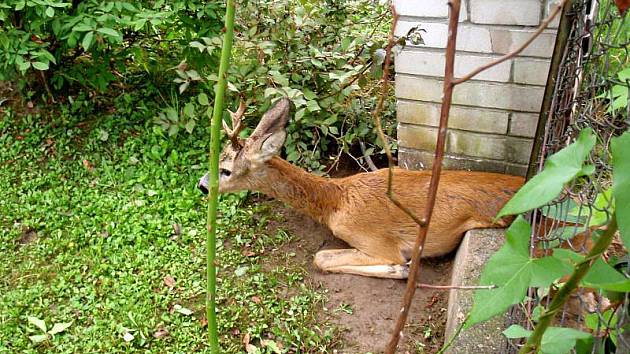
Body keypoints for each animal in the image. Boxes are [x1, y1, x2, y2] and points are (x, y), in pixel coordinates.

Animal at [200, 97, 524, 280]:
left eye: (226, 169)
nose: (203, 186)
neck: (336, 201)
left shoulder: (375, 241)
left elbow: (320, 258)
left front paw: (400, 270)